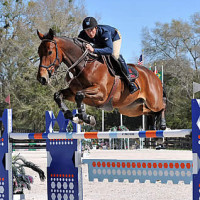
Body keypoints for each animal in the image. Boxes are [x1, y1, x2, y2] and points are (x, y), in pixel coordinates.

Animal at [36, 28, 166, 130]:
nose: (41, 78)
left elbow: (79, 95)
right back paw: (154, 127)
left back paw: (162, 125)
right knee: (150, 112)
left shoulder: (101, 93)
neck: (84, 66)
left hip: (153, 102)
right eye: (38, 52)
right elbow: (58, 96)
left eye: (50, 52)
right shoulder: (72, 92)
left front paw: (86, 118)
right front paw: (73, 116)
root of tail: (154, 75)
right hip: (131, 109)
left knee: (162, 106)